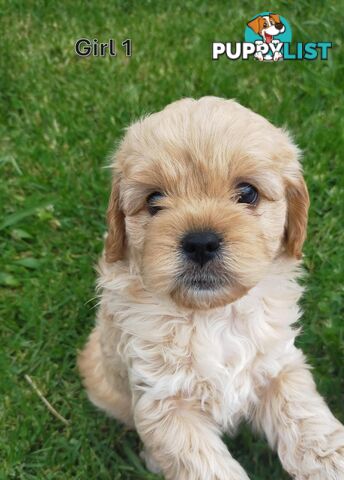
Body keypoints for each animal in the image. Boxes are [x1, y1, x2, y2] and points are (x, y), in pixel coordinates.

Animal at [78, 95, 344, 478]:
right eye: (154, 199)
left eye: (247, 193)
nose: (201, 242)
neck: (211, 316)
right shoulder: (165, 404)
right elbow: (207, 467)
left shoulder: (278, 368)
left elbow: (310, 427)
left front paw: (332, 461)